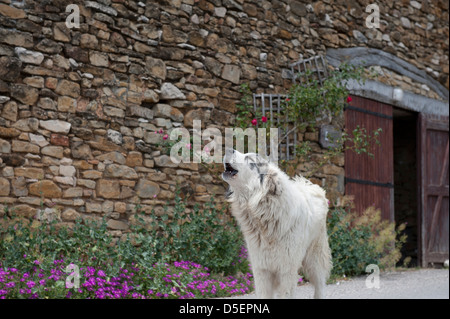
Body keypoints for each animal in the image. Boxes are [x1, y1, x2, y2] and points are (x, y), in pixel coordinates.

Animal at [221, 150, 330, 300]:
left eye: (250, 160)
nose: (228, 149)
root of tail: (310, 185)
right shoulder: (261, 269)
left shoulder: (287, 270)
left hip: (314, 258)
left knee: (320, 284)